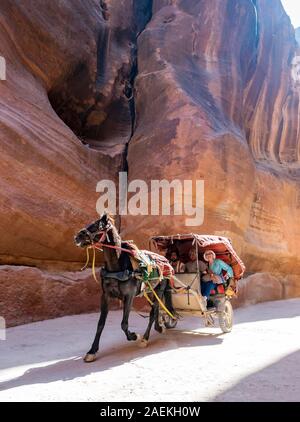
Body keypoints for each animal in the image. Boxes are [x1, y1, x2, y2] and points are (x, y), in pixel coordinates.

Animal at [73, 213, 175, 362]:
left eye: (97, 226)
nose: (77, 237)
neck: (117, 267)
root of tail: (166, 261)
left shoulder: (129, 296)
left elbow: (124, 324)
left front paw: (134, 336)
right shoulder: (105, 296)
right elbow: (100, 323)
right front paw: (92, 351)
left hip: (160, 289)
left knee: (152, 312)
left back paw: (145, 338)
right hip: (150, 291)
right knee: (156, 310)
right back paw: (158, 328)